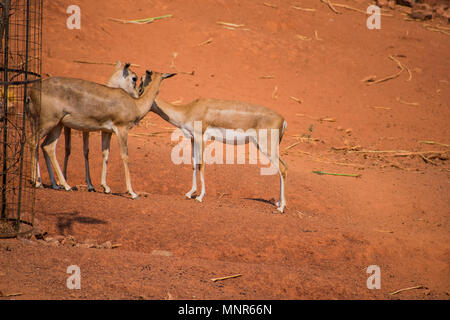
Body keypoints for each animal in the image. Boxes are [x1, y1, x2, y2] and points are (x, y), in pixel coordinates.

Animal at [138, 72, 288, 212]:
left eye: (140, 85)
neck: (187, 111)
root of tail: (283, 120)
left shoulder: (201, 138)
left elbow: (201, 164)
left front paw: (200, 197)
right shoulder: (193, 138)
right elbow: (193, 163)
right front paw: (190, 193)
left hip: (265, 146)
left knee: (282, 168)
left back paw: (281, 207)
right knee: (284, 166)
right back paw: (278, 203)